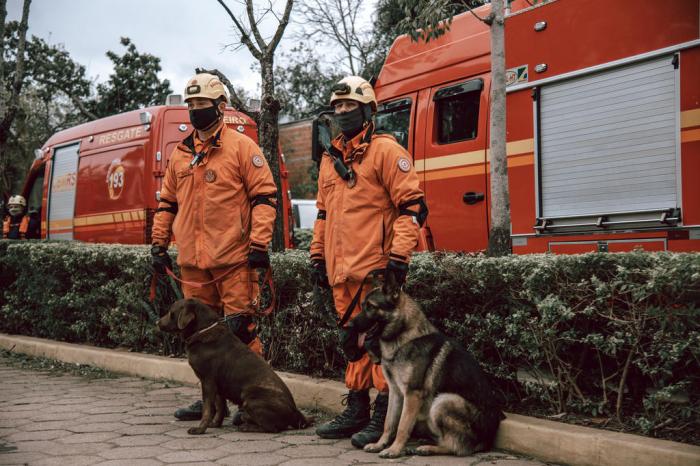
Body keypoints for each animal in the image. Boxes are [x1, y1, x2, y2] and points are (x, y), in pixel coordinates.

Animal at [160, 300, 314, 436]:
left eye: (171, 312)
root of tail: (295, 413)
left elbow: (208, 409)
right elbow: (220, 407)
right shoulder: (218, 387)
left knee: (273, 428)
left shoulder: (208, 381)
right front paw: (215, 424)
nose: (157, 323)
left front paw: (200, 429)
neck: (202, 330)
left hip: (250, 397)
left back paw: (247, 427)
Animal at [350, 272, 504, 456]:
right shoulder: (395, 392)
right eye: (362, 306)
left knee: (459, 448)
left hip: (442, 401)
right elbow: (389, 423)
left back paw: (428, 448)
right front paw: (380, 444)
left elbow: (402, 425)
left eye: (371, 307)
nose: (349, 325)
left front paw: (394, 449)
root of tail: (487, 440)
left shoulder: (412, 394)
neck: (403, 337)